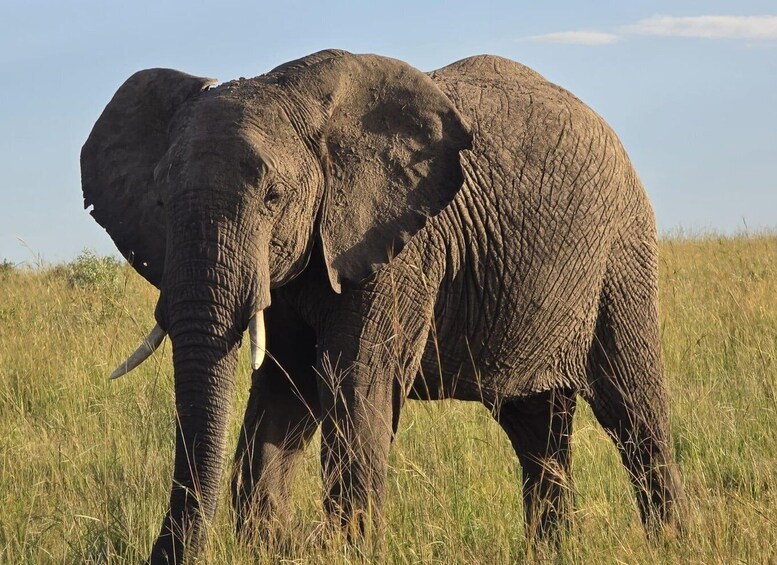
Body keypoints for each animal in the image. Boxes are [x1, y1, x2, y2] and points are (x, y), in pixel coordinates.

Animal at [81, 49, 684, 563]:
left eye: (274, 197)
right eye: (161, 201)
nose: (163, 556)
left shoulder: (396, 250)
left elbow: (351, 386)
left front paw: (336, 546)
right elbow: (286, 390)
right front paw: (286, 540)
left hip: (620, 254)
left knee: (635, 414)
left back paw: (671, 542)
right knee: (535, 430)